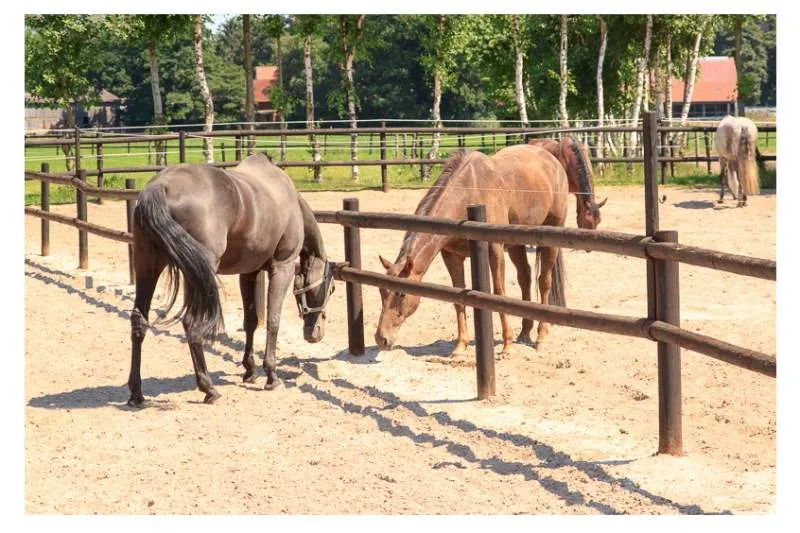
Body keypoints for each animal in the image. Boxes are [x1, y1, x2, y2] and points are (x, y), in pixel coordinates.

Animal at [128, 155, 334, 408]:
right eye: (331, 289)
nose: (316, 333)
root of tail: (160, 186)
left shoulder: (249, 273)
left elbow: (251, 321)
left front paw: (250, 370)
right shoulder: (282, 267)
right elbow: (273, 320)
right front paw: (271, 375)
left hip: (148, 267)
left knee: (139, 322)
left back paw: (136, 393)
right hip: (197, 272)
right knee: (191, 324)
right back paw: (209, 388)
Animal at [376, 143, 568, 356]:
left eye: (401, 294)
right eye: (381, 291)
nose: (382, 339)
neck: (467, 191)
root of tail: (552, 159)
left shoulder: (495, 249)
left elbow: (498, 293)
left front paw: (507, 344)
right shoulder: (452, 256)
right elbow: (458, 298)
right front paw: (460, 346)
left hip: (551, 234)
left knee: (544, 282)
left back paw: (541, 336)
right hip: (516, 244)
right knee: (524, 277)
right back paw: (525, 332)